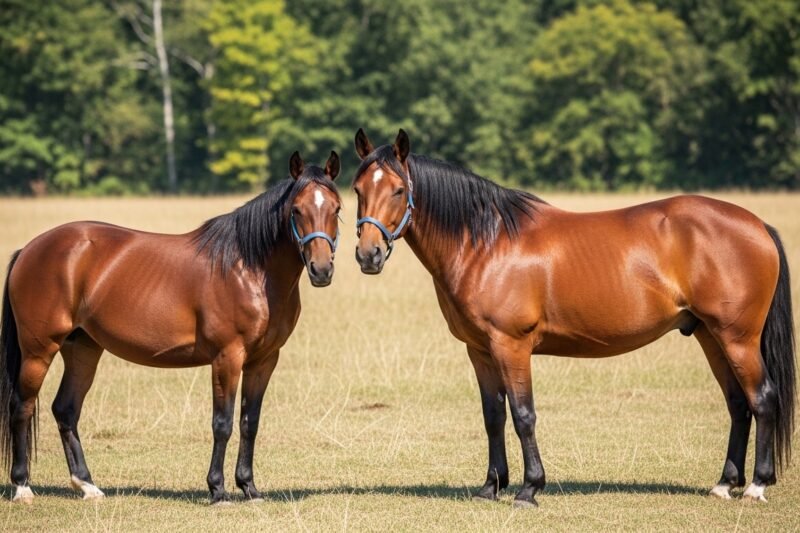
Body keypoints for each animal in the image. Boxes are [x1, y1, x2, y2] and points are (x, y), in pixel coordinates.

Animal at [0, 151, 342, 504]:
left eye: (337, 209)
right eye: (297, 209)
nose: (321, 269)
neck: (249, 270)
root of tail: (30, 249)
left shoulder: (264, 360)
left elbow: (250, 422)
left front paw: (249, 487)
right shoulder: (227, 357)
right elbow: (222, 423)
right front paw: (218, 489)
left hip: (82, 349)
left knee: (66, 410)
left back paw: (87, 485)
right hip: (39, 350)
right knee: (21, 407)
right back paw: (22, 486)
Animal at [350, 128, 796, 507]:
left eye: (398, 190)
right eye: (357, 190)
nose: (368, 255)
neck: (486, 243)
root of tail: (757, 225)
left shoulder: (511, 346)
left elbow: (523, 415)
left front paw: (529, 489)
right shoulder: (480, 351)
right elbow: (493, 417)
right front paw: (490, 487)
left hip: (737, 338)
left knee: (762, 398)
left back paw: (756, 486)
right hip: (709, 336)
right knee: (738, 404)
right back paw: (725, 483)